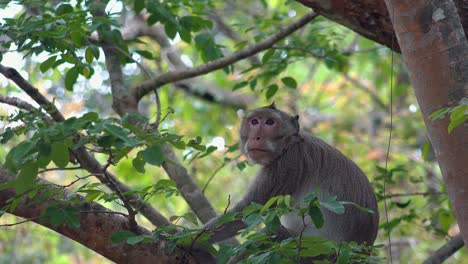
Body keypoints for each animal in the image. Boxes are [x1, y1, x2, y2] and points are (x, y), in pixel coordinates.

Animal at [204, 103, 376, 248]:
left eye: (269, 122)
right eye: (254, 122)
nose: (256, 137)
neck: (290, 143)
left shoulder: (288, 162)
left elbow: (248, 211)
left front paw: (195, 241)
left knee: (272, 234)